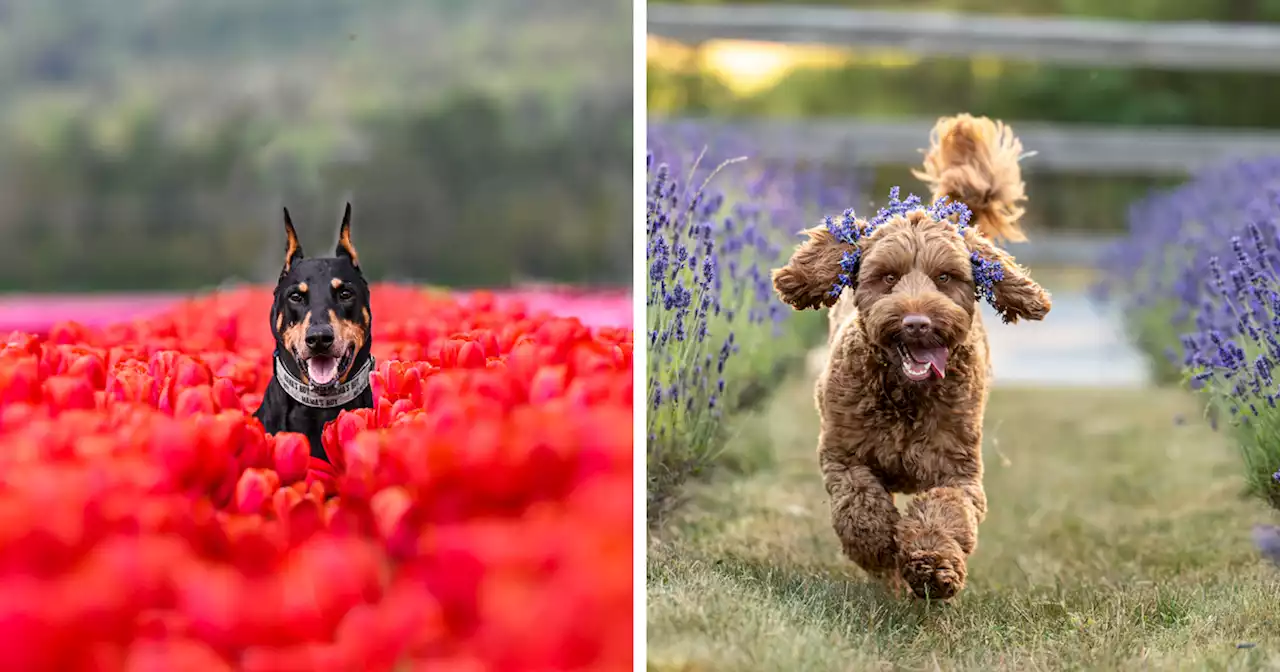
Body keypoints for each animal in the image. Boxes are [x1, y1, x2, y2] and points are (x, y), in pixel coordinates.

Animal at [768, 113, 1049, 596]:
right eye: (887, 276)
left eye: (945, 277)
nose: (917, 322)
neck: (905, 395)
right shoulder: (843, 456)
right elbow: (859, 504)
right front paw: (880, 547)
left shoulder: (958, 472)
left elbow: (945, 509)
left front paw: (932, 567)